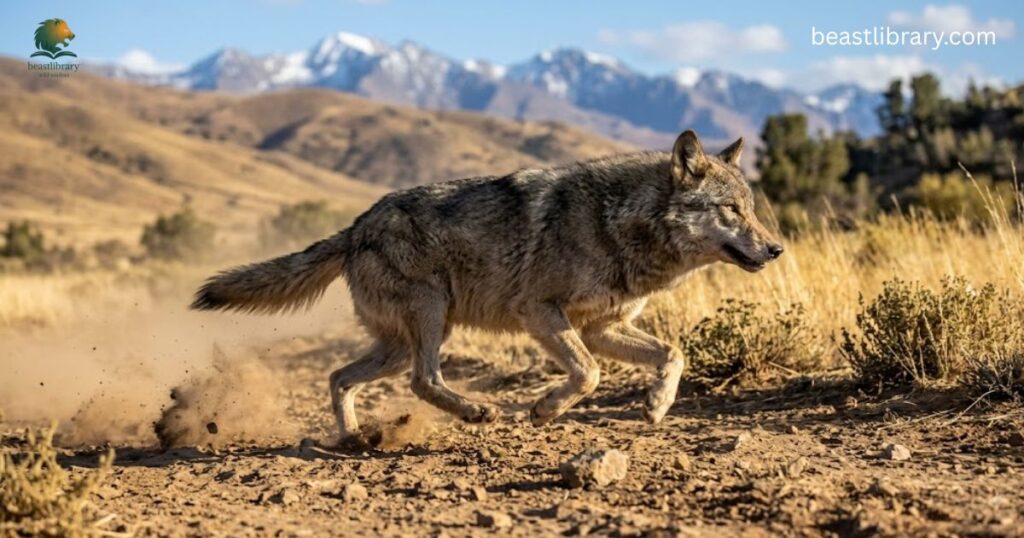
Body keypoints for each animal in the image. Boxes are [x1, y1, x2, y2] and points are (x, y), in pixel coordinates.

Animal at [191, 130, 783, 443]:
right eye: (731, 210)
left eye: (752, 209)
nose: (776, 250)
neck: (616, 222)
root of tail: (356, 226)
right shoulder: (542, 313)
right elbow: (588, 375)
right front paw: (545, 409)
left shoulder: (601, 327)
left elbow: (673, 354)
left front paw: (657, 407)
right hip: (431, 317)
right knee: (421, 381)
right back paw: (477, 412)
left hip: (401, 341)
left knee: (341, 377)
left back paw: (355, 438)